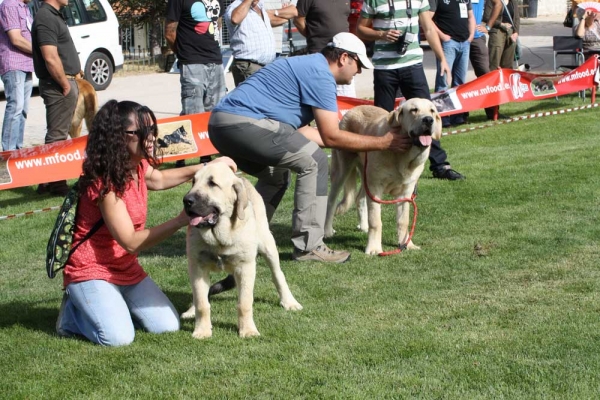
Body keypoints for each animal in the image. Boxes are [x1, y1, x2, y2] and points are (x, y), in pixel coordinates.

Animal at [182, 162, 302, 338]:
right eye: (193, 182)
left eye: (212, 183)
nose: (186, 201)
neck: (220, 238)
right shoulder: (197, 267)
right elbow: (202, 302)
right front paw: (202, 330)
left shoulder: (245, 267)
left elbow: (244, 303)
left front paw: (248, 330)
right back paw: (191, 311)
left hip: (268, 244)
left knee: (278, 275)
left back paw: (289, 301)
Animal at [326, 100, 442, 256]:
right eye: (414, 110)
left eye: (432, 111)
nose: (428, 120)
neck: (403, 157)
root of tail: (351, 111)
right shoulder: (375, 188)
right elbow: (376, 221)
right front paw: (374, 248)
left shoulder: (405, 193)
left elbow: (403, 221)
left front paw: (407, 244)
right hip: (341, 171)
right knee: (331, 202)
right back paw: (327, 231)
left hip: (365, 176)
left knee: (359, 198)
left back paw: (363, 226)